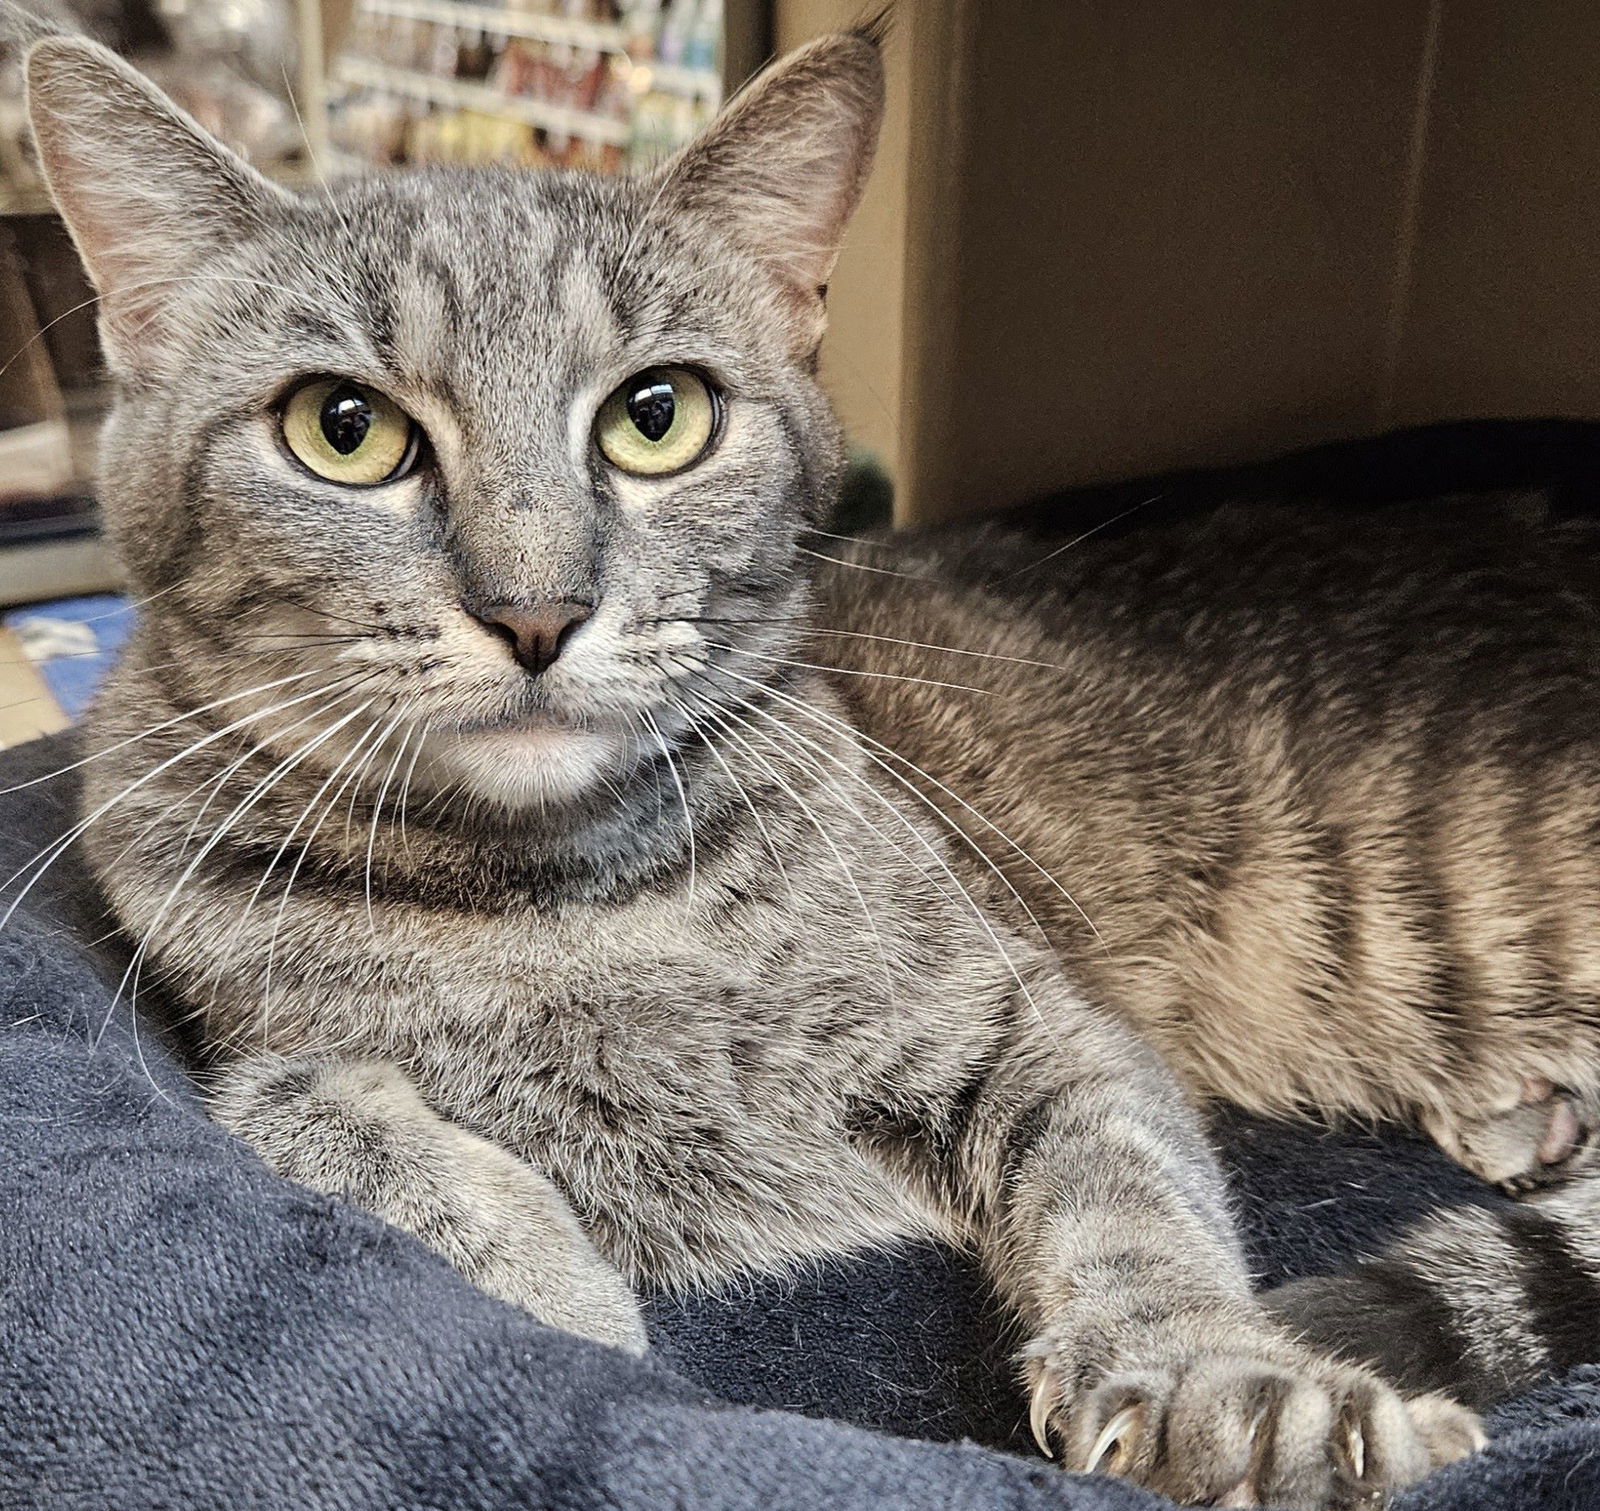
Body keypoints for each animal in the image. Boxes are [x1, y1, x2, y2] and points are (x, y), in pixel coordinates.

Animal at [12, 20, 1600, 1511]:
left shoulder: (1033, 1018)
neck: (559, 899)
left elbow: (1129, 1195)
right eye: (341, 430)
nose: (536, 608)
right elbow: (320, 1117)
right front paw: (553, 1296)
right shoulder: (239, 1034)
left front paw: (1227, 1380)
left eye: (656, 415)